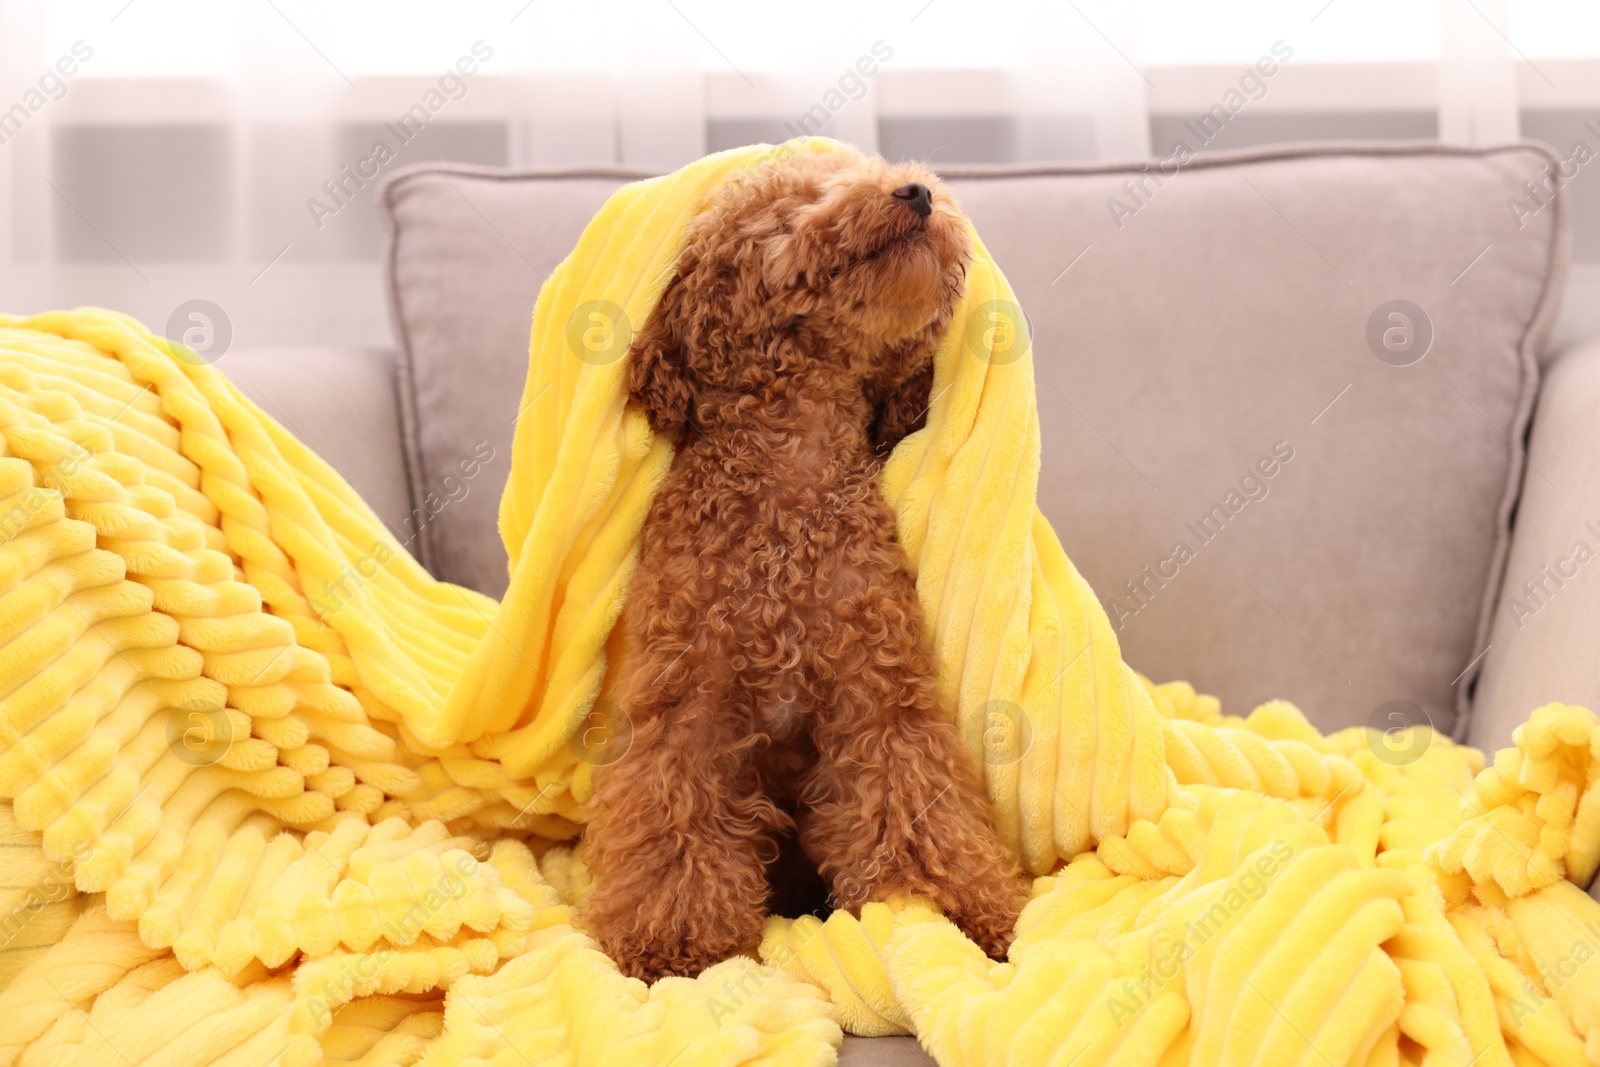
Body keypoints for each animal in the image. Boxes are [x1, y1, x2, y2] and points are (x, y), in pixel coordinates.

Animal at [582, 146, 1017, 979]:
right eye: (790, 206)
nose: (915, 192)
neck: (790, 484)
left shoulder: (880, 692)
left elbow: (914, 806)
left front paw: (956, 913)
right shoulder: (687, 700)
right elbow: (672, 816)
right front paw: (671, 940)